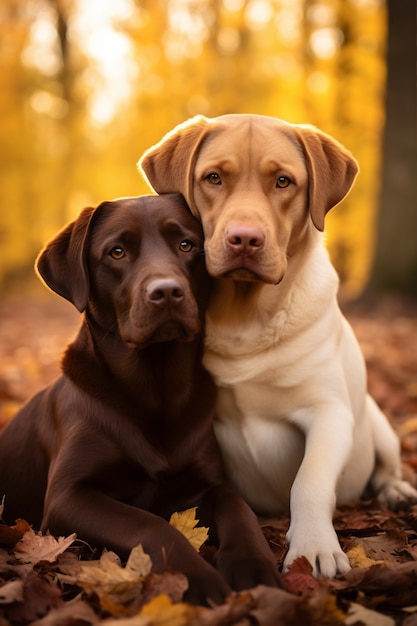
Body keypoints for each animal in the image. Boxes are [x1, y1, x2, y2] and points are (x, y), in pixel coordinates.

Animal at [0, 194, 282, 600]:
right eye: (117, 252)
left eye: (187, 245)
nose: (166, 292)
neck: (155, 389)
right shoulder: (68, 496)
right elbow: (150, 526)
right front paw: (199, 580)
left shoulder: (205, 483)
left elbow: (237, 505)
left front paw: (253, 566)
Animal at [140, 116, 416, 576]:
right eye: (213, 178)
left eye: (284, 181)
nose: (245, 239)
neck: (245, 319)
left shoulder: (329, 413)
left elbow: (310, 480)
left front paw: (313, 546)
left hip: (378, 423)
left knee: (386, 466)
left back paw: (395, 490)